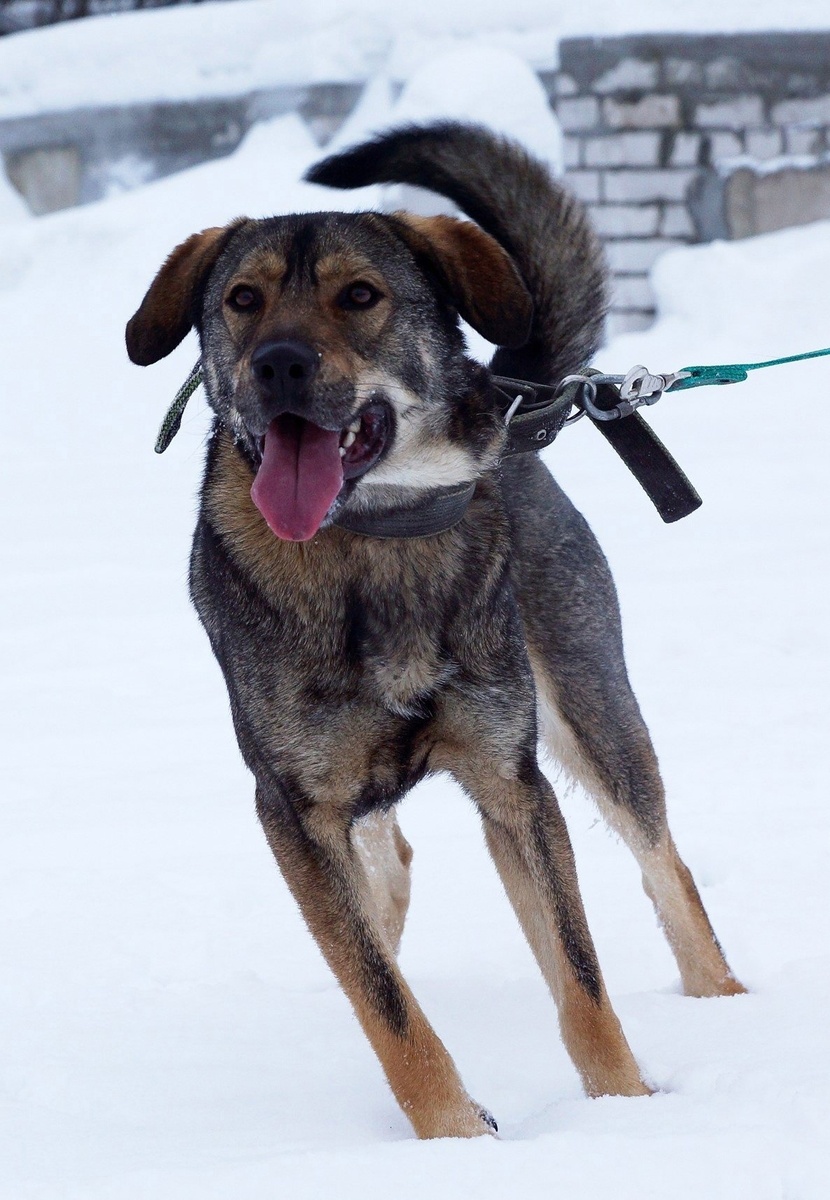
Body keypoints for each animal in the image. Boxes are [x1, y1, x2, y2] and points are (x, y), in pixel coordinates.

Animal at [124, 124, 743, 1142]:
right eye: (243, 300)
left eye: (360, 295)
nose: (278, 364)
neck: (370, 544)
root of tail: (524, 404)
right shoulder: (293, 804)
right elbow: (385, 1002)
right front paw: (455, 1137)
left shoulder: (513, 782)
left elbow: (581, 978)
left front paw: (624, 1114)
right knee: (383, 886)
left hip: (593, 708)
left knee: (665, 862)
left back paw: (727, 1006)